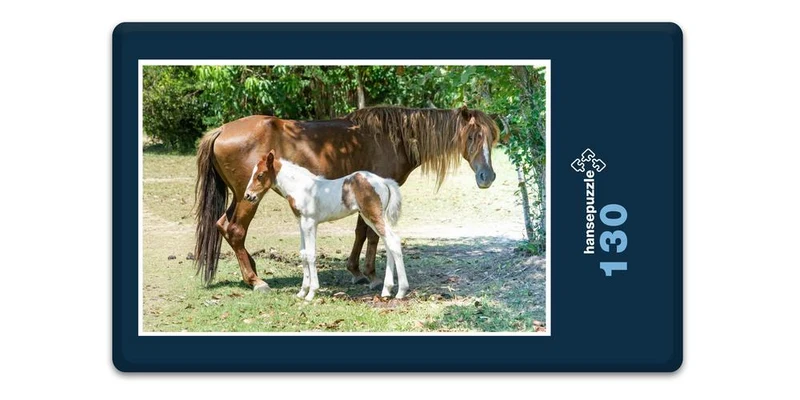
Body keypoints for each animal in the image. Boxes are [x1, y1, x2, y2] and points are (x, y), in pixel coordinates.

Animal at [243, 150, 407, 300]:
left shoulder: (310, 223)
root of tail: (384, 181)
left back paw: (401, 291)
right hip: (370, 219)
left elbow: (310, 255)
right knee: (388, 244)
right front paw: (302, 292)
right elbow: (303, 254)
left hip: (373, 216)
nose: (248, 195)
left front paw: (311, 293)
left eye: (260, 174)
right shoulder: (301, 223)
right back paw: (386, 290)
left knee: (393, 241)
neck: (301, 188)